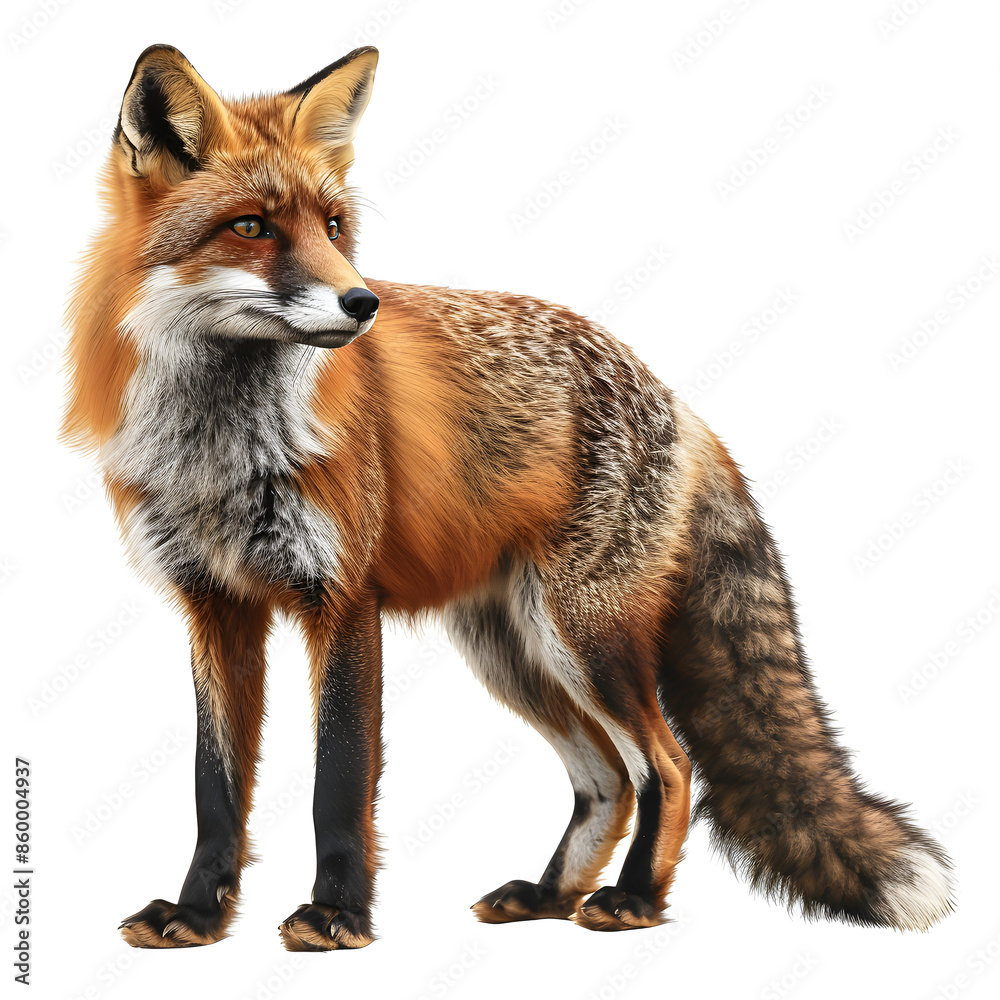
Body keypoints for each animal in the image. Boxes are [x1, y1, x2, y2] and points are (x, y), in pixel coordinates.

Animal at [62, 44, 955, 951]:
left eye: (336, 227)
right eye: (252, 227)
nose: (363, 302)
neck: (218, 449)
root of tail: (672, 394)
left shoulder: (341, 600)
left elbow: (337, 782)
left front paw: (338, 914)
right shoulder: (216, 608)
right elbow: (215, 789)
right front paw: (199, 913)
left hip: (582, 638)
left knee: (668, 767)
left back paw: (633, 900)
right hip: (512, 651)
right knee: (609, 778)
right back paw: (551, 893)